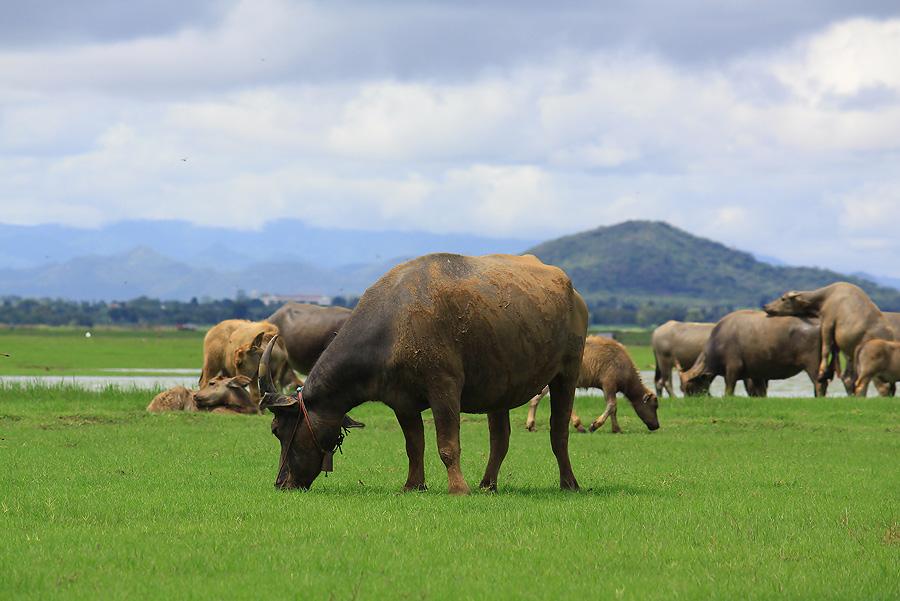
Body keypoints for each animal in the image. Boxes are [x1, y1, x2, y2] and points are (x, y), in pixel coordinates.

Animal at [258, 252, 592, 492]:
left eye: (278, 430)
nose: (281, 483)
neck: (391, 327)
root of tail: (573, 293)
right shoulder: (402, 402)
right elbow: (413, 445)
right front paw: (413, 485)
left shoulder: (444, 389)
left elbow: (447, 444)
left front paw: (458, 489)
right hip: (500, 385)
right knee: (500, 438)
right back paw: (487, 485)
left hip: (568, 370)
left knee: (558, 431)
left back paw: (569, 483)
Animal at [520, 336, 660, 434]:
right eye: (655, 406)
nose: (657, 425)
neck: (623, 364)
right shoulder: (609, 384)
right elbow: (612, 405)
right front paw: (595, 425)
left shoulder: (609, 388)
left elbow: (613, 408)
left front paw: (617, 429)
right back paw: (579, 426)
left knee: (537, 398)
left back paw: (531, 425)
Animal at [680, 310, 832, 398]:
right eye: (681, 388)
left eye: (690, 386)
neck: (718, 341)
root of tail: (820, 323)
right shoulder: (757, 374)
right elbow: (760, 392)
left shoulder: (733, 367)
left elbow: (729, 388)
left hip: (813, 364)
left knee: (820, 383)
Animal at [760, 282, 892, 394]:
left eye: (783, 298)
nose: (766, 306)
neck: (826, 297)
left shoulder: (828, 323)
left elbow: (826, 348)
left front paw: (822, 373)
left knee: (881, 386)